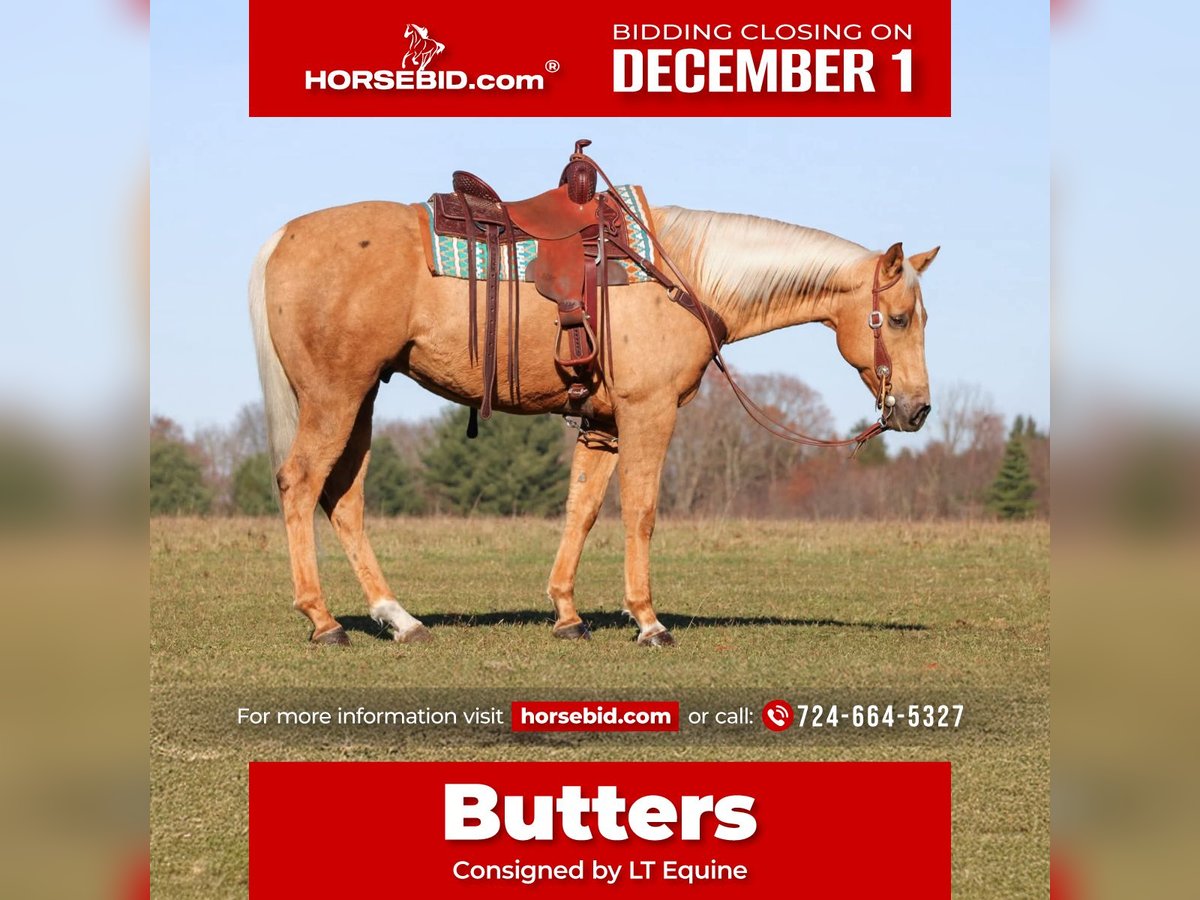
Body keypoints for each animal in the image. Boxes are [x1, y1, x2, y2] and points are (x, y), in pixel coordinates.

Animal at [249, 195, 938, 648]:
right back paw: (324, 622)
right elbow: (641, 512)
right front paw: (648, 621)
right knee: (301, 484)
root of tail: (281, 237)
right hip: (336, 396)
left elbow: (581, 510)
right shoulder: (647, 411)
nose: (917, 409)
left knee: (344, 499)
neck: (683, 273)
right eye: (900, 318)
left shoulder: (602, 423)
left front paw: (567, 614)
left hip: (360, 399)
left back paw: (397, 618)